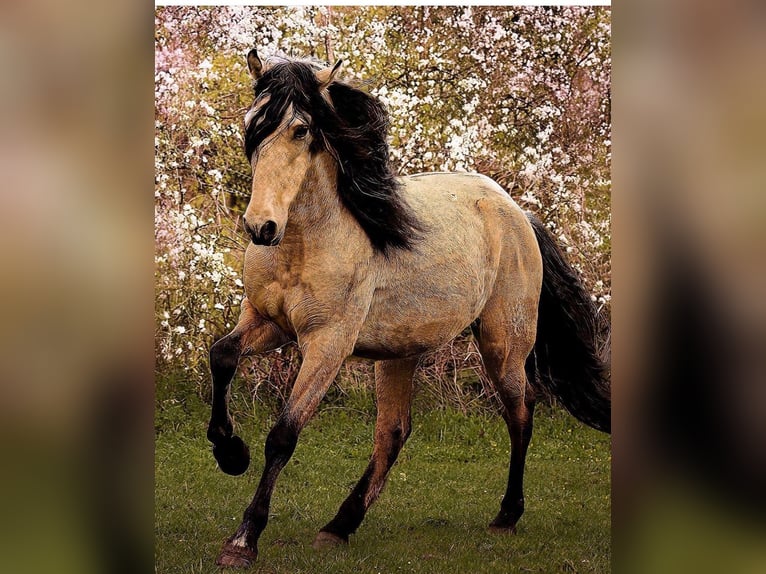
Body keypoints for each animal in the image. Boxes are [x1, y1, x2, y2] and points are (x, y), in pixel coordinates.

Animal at [206, 50, 612, 572]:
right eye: (252, 124)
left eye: (300, 129)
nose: (261, 227)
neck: (303, 242)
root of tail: (517, 212)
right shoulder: (265, 321)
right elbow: (221, 357)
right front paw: (230, 452)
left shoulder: (327, 343)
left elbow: (283, 434)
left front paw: (243, 539)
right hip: (401, 351)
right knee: (394, 432)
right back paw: (339, 526)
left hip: (503, 345)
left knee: (521, 410)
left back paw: (506, 515)